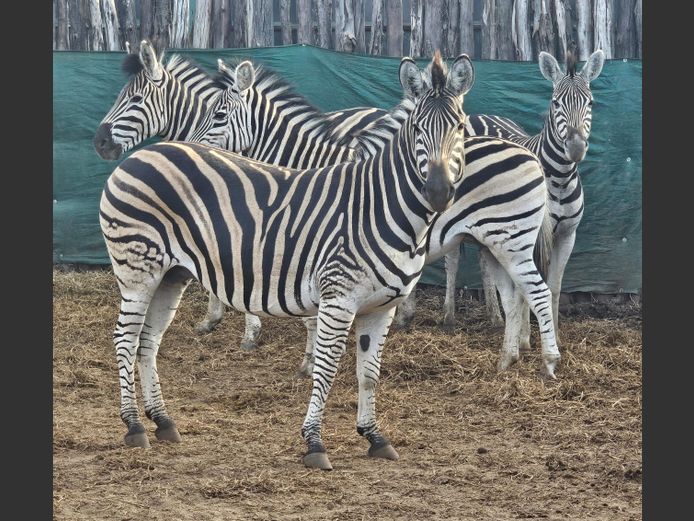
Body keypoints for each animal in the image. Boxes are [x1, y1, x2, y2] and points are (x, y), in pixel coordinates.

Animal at [98, 52, 474, 470]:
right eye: (418, 129)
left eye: (460, 127)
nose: (438, 192)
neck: (378, 205)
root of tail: (145, 152)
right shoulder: (337, 298)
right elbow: (327, 369)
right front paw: (314, 442)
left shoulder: (381, 307)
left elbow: (369, 374)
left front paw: (374, 436)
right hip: (137, 269)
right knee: (125, 338)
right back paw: (134, 426)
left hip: (171, 273)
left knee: (148, 340)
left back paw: (163, 421)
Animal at [294, 62, 560, 380]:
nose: (437, 191)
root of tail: (531, 155)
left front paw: (307, 362)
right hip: (497, 243)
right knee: (514, 296)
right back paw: (509, 356)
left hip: (512, 239)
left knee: (538, 292)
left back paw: (547, 361)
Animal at [464, 46, 605, 348]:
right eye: (555, 103)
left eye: (590, 103)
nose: (576, 148)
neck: (560, 180)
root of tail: (478, 115)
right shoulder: (531, 234)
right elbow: (528, 284)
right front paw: (525, 339)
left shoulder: (567, 234)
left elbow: (554, 285)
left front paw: (555, 336)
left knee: (485, 260)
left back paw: (496, 317)